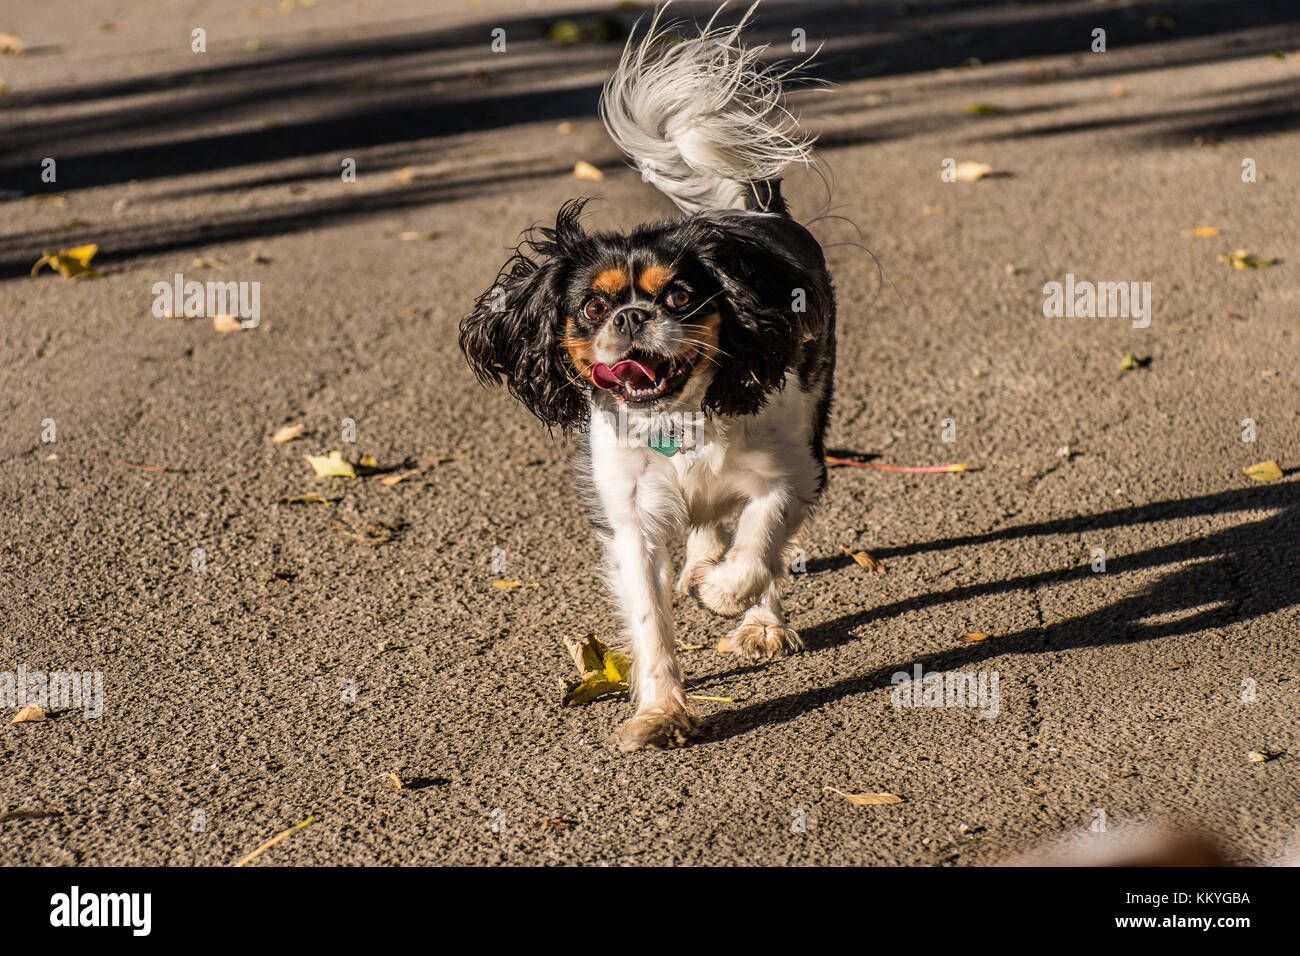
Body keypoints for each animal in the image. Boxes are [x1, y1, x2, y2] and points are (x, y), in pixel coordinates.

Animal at [462, 5, 837, 754]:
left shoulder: (793, 473)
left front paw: (727, 597)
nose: (632, 316)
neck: (679, 419)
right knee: (703, 528)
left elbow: (760, 546)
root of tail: (755, 211)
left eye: (680, 298)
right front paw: (663, 712)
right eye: (592, 307)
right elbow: (650, 621)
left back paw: (757, 622)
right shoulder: (630, 518)